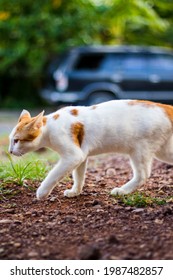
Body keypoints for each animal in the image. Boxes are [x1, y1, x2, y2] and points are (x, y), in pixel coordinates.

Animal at [8, 99, 173, 200]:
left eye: (16, 140)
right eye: (11, 140)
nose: (10, 151)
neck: (50, 125)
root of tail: (165, 107)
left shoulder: (73, 156)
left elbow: (54, 174)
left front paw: (42, 192)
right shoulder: (81, 156)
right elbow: (79, 176)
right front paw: (75, 192)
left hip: (140, 150)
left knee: (143, 175)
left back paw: (122, 191)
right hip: (163, 151)